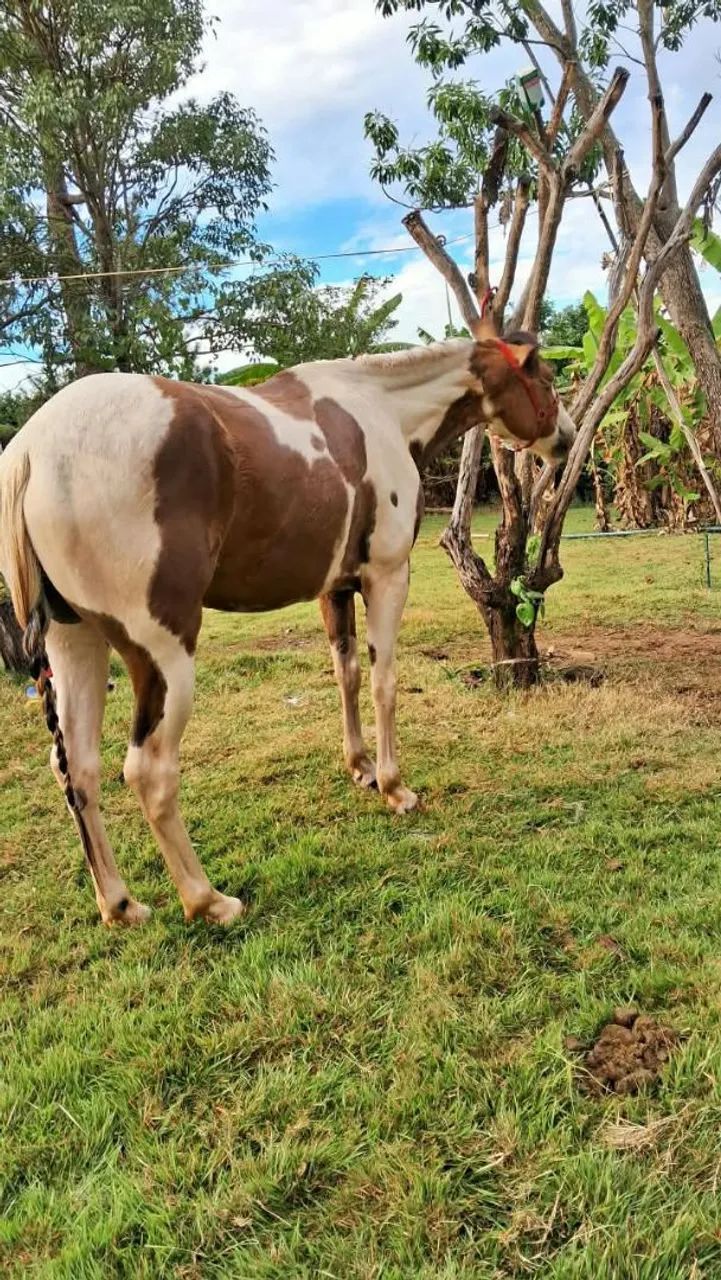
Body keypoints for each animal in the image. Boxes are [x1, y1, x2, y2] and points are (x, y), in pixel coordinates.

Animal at [0, 313, 575, 928]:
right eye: (543, 377)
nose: (566, 437)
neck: (379, 409)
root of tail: (32, 448)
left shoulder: (336, 588)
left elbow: (347, 675)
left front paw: (361, 767)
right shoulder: (387, 578)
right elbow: (384, 682)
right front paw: (394, 787)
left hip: (75, 641)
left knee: (77, 768)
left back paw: (120, 903)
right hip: (162, 655)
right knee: (148, 771)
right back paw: (207, 900)